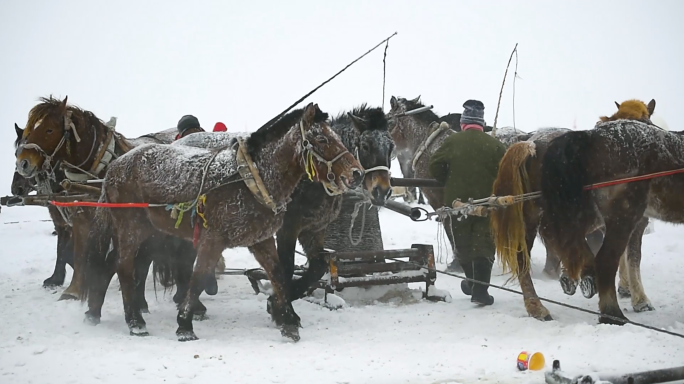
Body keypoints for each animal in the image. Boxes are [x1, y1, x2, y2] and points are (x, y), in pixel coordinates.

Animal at [79, 102, 364, 342]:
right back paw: (135, 321)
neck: (250, 180)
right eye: (322, 139)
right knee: (124, 266)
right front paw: (185, 325)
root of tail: (115, 166)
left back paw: (95, 312)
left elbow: (278, 275)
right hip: (132, 227)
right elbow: (198, 277)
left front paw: (287, 321)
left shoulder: (262, 239)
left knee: (115, 263)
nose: (357, 173)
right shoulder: (213, 238)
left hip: (151, 231)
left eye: (338, 137)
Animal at [492, 101, 656, 320]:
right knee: (536, 247)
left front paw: (624, 287)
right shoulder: (632, 221)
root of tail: (531, 144)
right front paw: (640, 299)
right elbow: (632, 257)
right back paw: (542, 302)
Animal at [536, 99, 676, 324]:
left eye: (647, 122)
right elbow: (629, 255)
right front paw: (639, 299)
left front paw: (629, 290)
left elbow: (627, 255)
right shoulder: (629, 220)